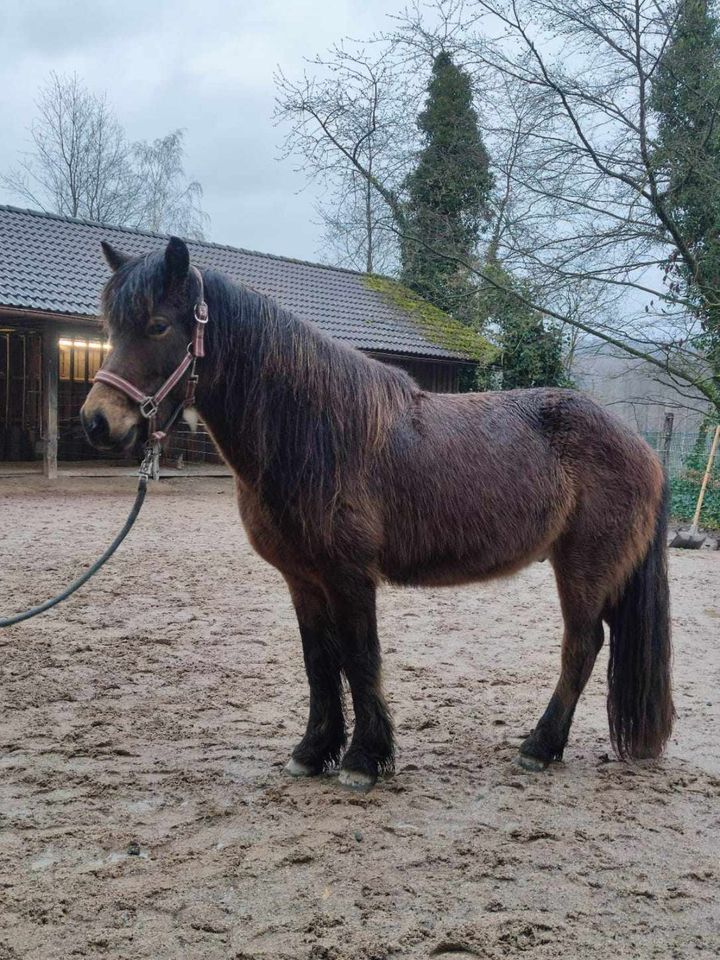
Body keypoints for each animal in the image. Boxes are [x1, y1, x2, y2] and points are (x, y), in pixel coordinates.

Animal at [81, 240, 672, 796]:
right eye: (110, 328)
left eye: (157, 326)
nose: (96, 422)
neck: (314, 431)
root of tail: (641, 446)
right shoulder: (303, 579)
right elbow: (320, 662)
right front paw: (313, 751)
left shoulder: (349, 575)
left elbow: (360, 657)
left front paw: (363, 761)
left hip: (582, 569)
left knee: (582, 646)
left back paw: (539, 747)